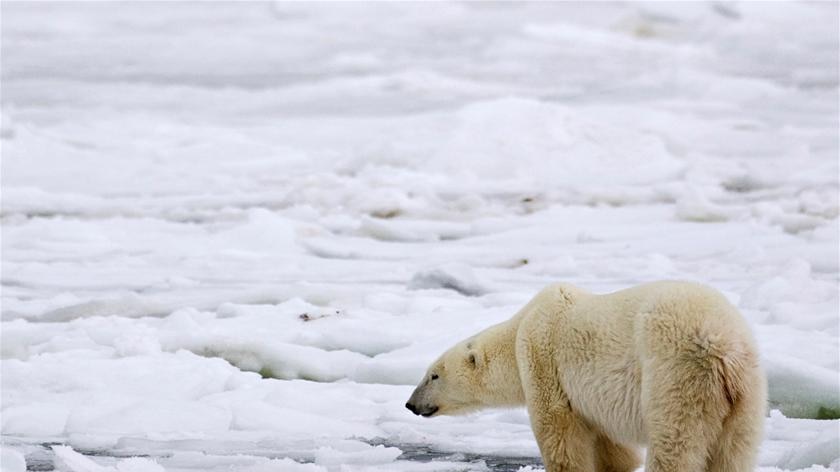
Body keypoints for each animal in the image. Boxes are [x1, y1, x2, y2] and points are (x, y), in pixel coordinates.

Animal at [406, 282, 768, 470]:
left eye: (433, 375)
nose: (410, 404)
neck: (521, 326)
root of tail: (723, 348)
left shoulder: (543, 357)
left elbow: (558, 430)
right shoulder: (595, 398)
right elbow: (612, 447)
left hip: (677, 377)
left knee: (676, 444)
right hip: (745, 397)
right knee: (733, 453)